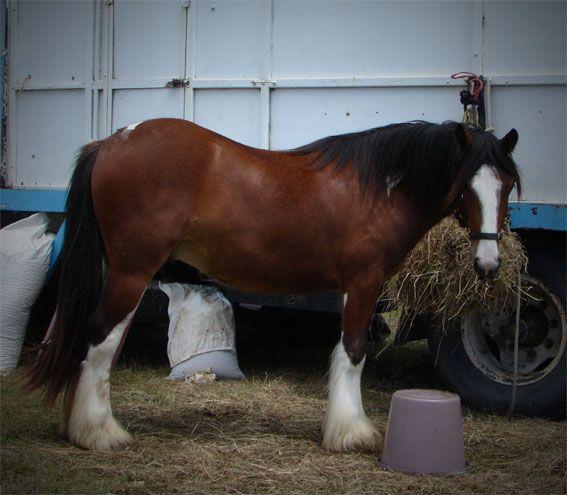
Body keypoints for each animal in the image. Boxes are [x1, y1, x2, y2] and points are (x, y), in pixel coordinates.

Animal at [28, 119, 520, 454]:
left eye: (508, 184)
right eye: (467, 185)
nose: (489, 264)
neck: (376, 189)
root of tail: (112, 141)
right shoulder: (363, 282)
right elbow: (353, 352)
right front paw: (351, 432)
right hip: (132, 272)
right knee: (100, 340)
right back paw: (100, 433)